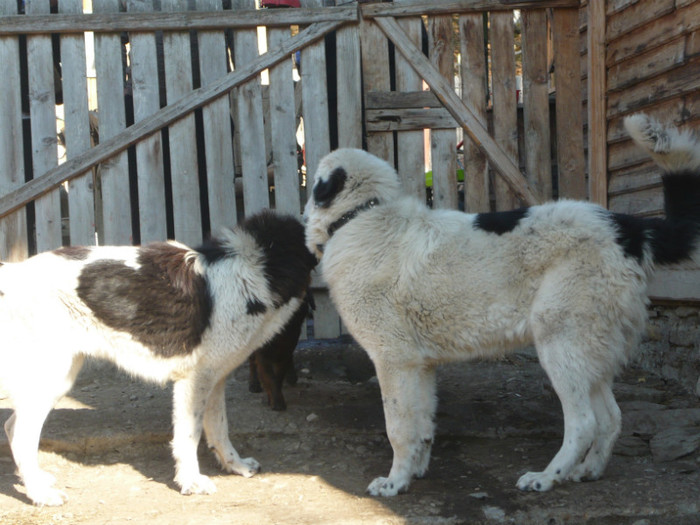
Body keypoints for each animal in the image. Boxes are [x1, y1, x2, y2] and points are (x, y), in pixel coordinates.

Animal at [0, 211, 316, 506]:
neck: (255, 269)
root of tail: (12, 275)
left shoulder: (215, 378)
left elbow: (219, 428)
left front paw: (234, 465)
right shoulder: (194, 380)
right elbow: (189, 435)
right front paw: (191, 482)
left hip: (57, 377)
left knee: (13, 427)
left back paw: (38, 481)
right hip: (49, 377)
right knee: (21, 434)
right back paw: (40, 494)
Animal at [304, 114, 700, 496]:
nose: (303, 215)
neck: (361, 216)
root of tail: (628, 229)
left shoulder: (394, 361)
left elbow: (398, 428)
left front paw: (394, 483)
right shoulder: (420, 366)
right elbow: (422, 425)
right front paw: (414, 472)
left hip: (560, 344)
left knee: (584, 422)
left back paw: (546, 477)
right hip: (590, 350)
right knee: (611, 417)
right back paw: (587, 471)